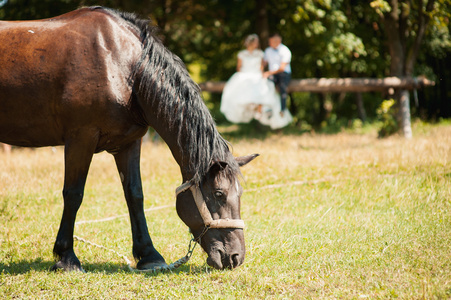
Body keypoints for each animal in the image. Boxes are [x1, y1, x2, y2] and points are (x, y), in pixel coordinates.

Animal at [0, 6, 258, 272]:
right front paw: (66, 257)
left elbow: (135, 195)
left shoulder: (129, 144)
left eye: (239, 194)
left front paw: (149, 255)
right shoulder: (80, 138)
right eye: (218, 194)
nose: (235, 257)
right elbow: (73, 194)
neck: (123, 67)